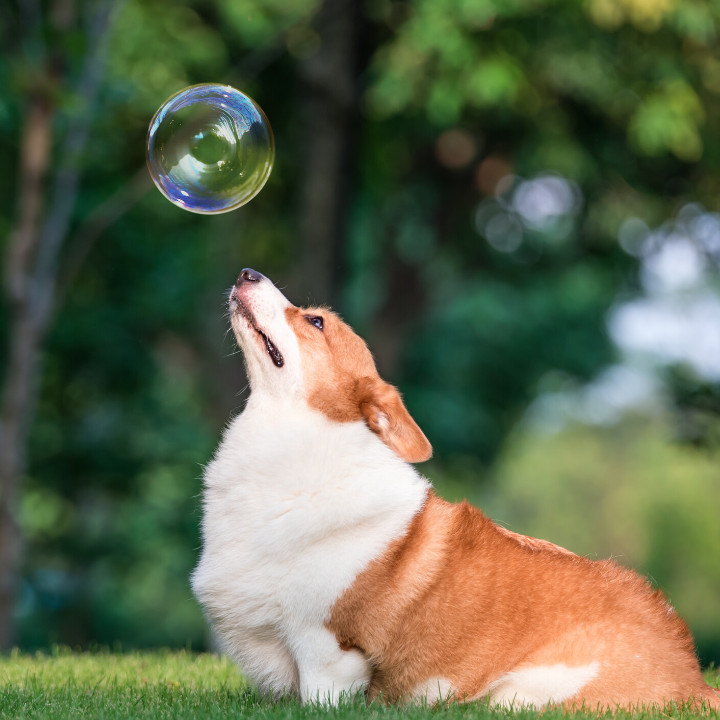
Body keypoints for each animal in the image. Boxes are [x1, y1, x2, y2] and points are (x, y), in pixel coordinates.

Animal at [191, 266, 720, 708]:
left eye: (316, 321)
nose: (247, 272)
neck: (299, 439)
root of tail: (696, 684)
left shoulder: (326, 649)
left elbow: (320, 695)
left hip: (519, 693)